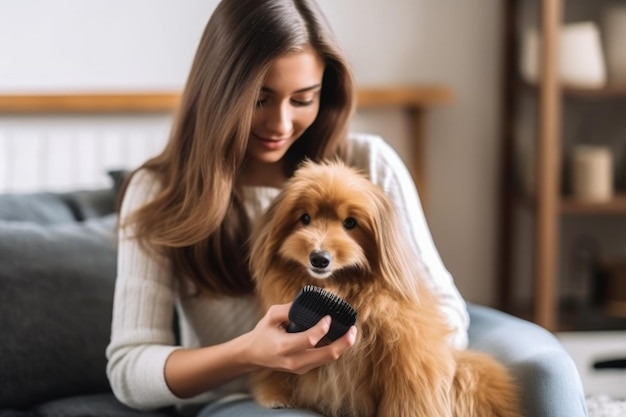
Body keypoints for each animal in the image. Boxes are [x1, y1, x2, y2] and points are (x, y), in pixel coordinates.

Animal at [247, 159, 520, 416]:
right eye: (305, 218)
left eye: (350, 223)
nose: (319, 258)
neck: (338, 287)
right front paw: (277, 394)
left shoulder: (407, 357)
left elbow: (407, 398)